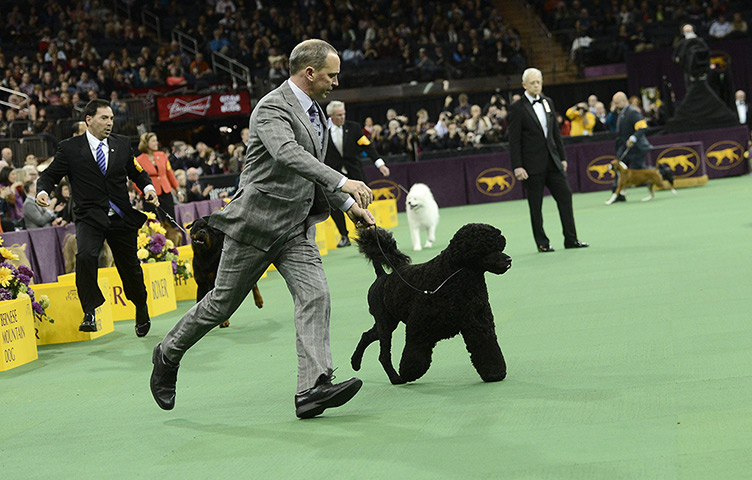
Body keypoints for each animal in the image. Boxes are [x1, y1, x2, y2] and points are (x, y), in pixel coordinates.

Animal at [352, 223, 512, 384]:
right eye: (487, 249)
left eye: (500, 247)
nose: (509, 259)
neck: (451, 275)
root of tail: (382, 277)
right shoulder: (418, 326)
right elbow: (414, 353)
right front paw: (409, 372)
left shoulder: (478, 323)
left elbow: (486, 347)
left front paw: (494, 373)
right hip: (385, 323)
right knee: (383, 356)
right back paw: (396, 378)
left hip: (388, 322)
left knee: (367, 335)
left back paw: (355, 362)